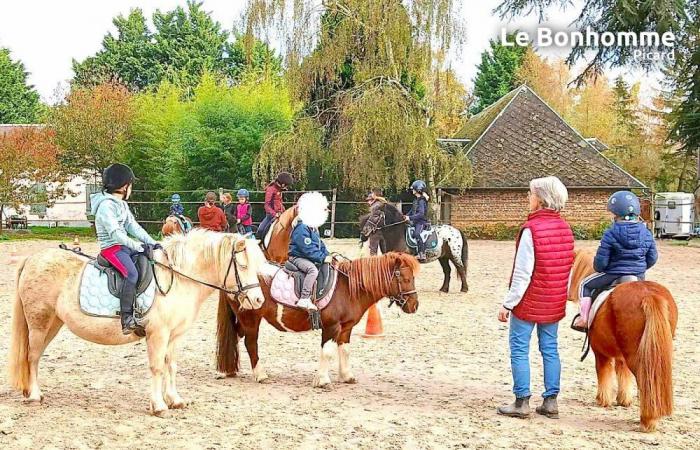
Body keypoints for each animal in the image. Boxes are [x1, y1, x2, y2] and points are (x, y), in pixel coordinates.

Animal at [8, 230, 266, 416]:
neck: (179, 279)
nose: (258, 300)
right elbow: (157, 367)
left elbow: (171, 366)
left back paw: (31, 391)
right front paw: (159, 406)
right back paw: (34, 396)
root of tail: (33, 258)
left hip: (53, 324)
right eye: (243, 266)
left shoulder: (174, 336)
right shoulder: (158, 334)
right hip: (39, 322)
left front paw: (175, 400)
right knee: (32, 356)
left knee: (35, 356)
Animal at [216, 253, 418, 386]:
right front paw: (322, 380)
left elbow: (345, 350)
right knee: (250, 344)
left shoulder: (346, 328)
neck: (347, 287)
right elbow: (327, 352)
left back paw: (227, 370)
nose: (414, 305)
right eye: (405, 278)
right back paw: (260, 374)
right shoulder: (331, 327)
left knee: (235, 338)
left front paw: (346, 376)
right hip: (250, 319)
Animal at [568, 250, 680, 432]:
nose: (570, 296)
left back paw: (647, 421)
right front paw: (623, 400)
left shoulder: (600, 352)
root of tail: (649, 296)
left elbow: (604, 373)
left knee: (644, 382)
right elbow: (623, 374)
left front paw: (603, 399)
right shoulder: (622, 356)